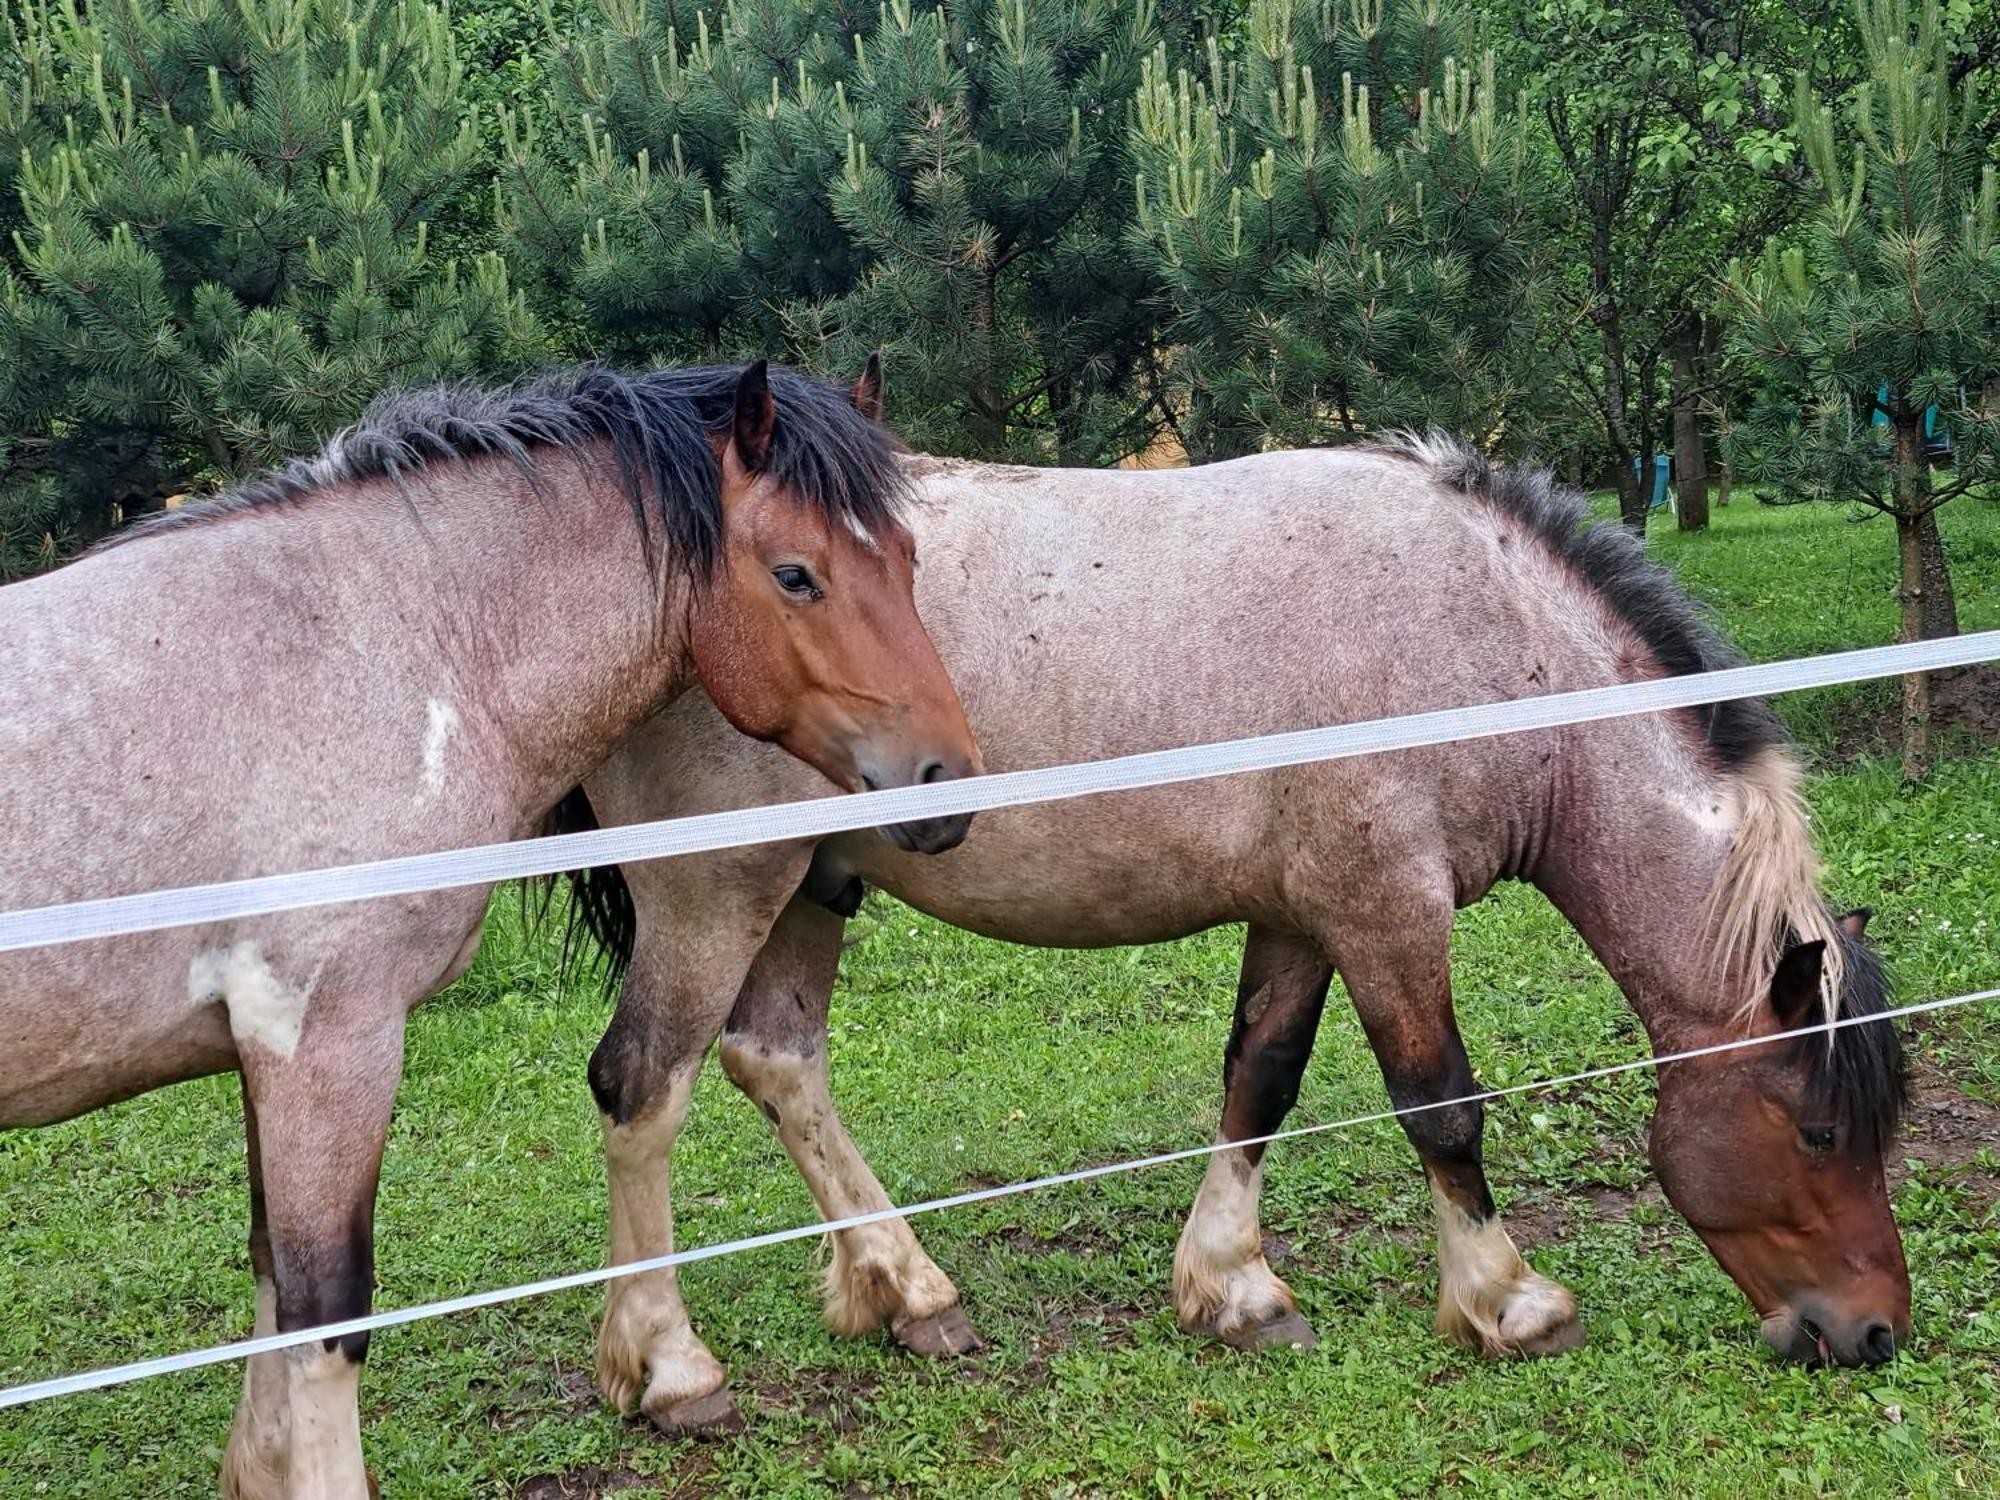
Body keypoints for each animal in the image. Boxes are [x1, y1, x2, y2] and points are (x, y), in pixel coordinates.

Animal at [0, 364, 976, 1500]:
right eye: (795, 575)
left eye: (905, 554)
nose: (947, 784)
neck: (363, 647)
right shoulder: (326, 1046)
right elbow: (325, 1313)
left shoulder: (262, 1053)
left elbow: (270, 1279)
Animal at [560, 432, 1904, 1432]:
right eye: (1819, 1128)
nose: (1872, 1332)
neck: (1476, 634)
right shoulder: (1385, 908)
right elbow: (1440, 1104)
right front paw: (1506, 1301)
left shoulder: (1301, 916)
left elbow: (1259, 1079)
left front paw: (1231, 1287)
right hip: (718, 891)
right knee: (644, 1084)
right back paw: (669, 1369)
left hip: (804, 890)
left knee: (778, 1063)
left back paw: (907, 1293)